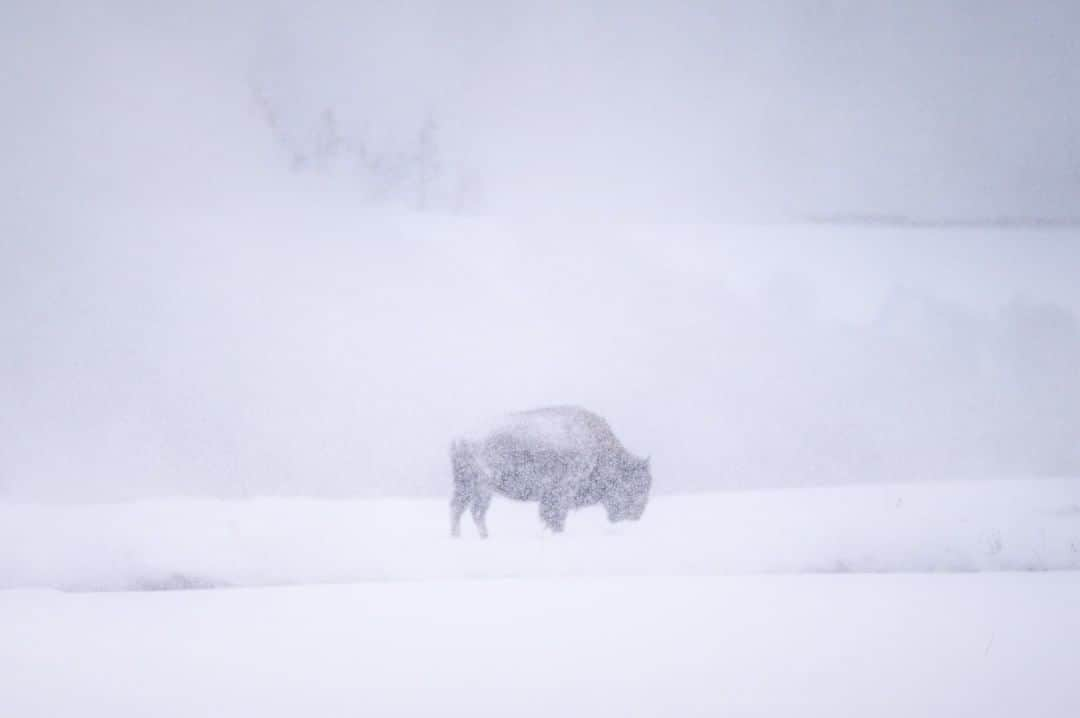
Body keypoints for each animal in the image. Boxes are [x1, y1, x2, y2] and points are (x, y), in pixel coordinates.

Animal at [447, 405, 648, 535]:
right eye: (636, 484)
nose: (637, 515)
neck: (599, 448)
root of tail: (460, 439)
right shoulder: (564, 489)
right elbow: (557, 515)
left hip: (466, 486)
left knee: (458, 509)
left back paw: (459, 536)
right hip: (483, 487)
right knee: (476, 512)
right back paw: (484, 537)